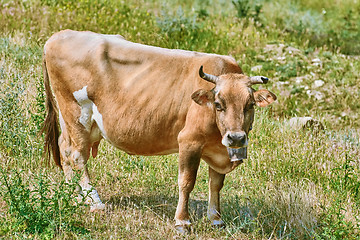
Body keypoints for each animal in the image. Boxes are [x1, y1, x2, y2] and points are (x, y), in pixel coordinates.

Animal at [42, 29, 278, 232]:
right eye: (218, 104)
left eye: (250, 105)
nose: (236, 137)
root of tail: (59, 35)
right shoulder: (189, 141)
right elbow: (186, 182)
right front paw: (182, 221)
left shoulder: (219, 150)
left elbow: (216, 184)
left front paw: (216, 219)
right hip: (76, 114)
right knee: (77, 155)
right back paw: (94, 201)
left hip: (74, 121)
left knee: (65, 150)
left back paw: (74, 196)